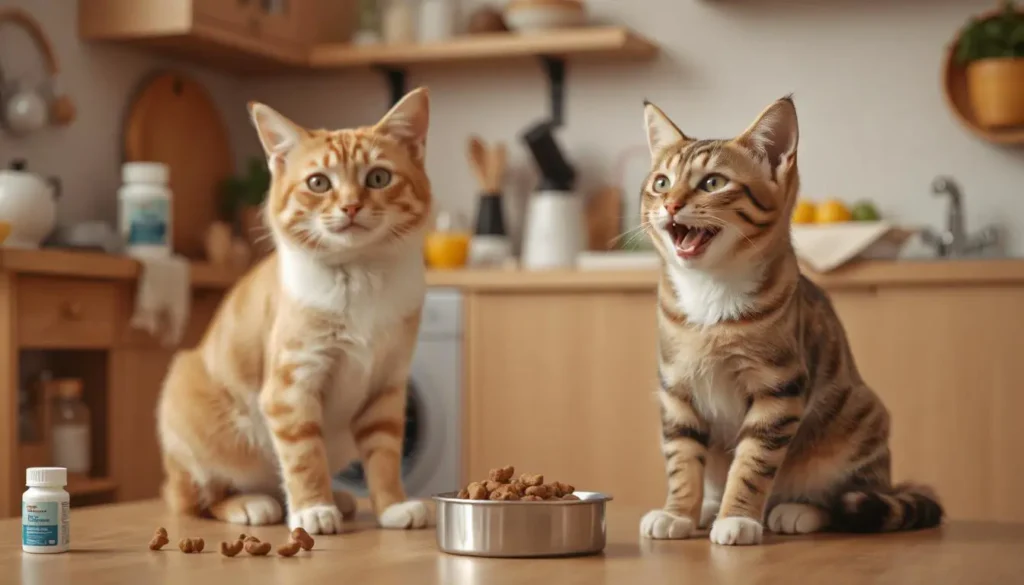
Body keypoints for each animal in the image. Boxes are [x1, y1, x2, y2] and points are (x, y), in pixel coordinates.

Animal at [155, 86, 432, 536]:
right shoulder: (292, 384)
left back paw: (341, 499)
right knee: (199, 499)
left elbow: (385, 455)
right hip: (193, 416)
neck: (360, 276)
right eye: (318, 183)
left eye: (378, 177)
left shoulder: (388, 385)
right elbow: (303, 456)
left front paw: (392, 506)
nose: (351, 207)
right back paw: (254, 504)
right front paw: (312, 510)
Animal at [638, 93, 942, 549]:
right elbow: (682, 458)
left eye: (713, 183)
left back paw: (797, 509)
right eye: (660, 182)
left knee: (845, 499)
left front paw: (737, 517)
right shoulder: (677, 387)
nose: (670, 204)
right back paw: (707, 507)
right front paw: (678, 512)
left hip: (858, 421)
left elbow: (752, 463)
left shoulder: (778, 388)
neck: (711, 291)